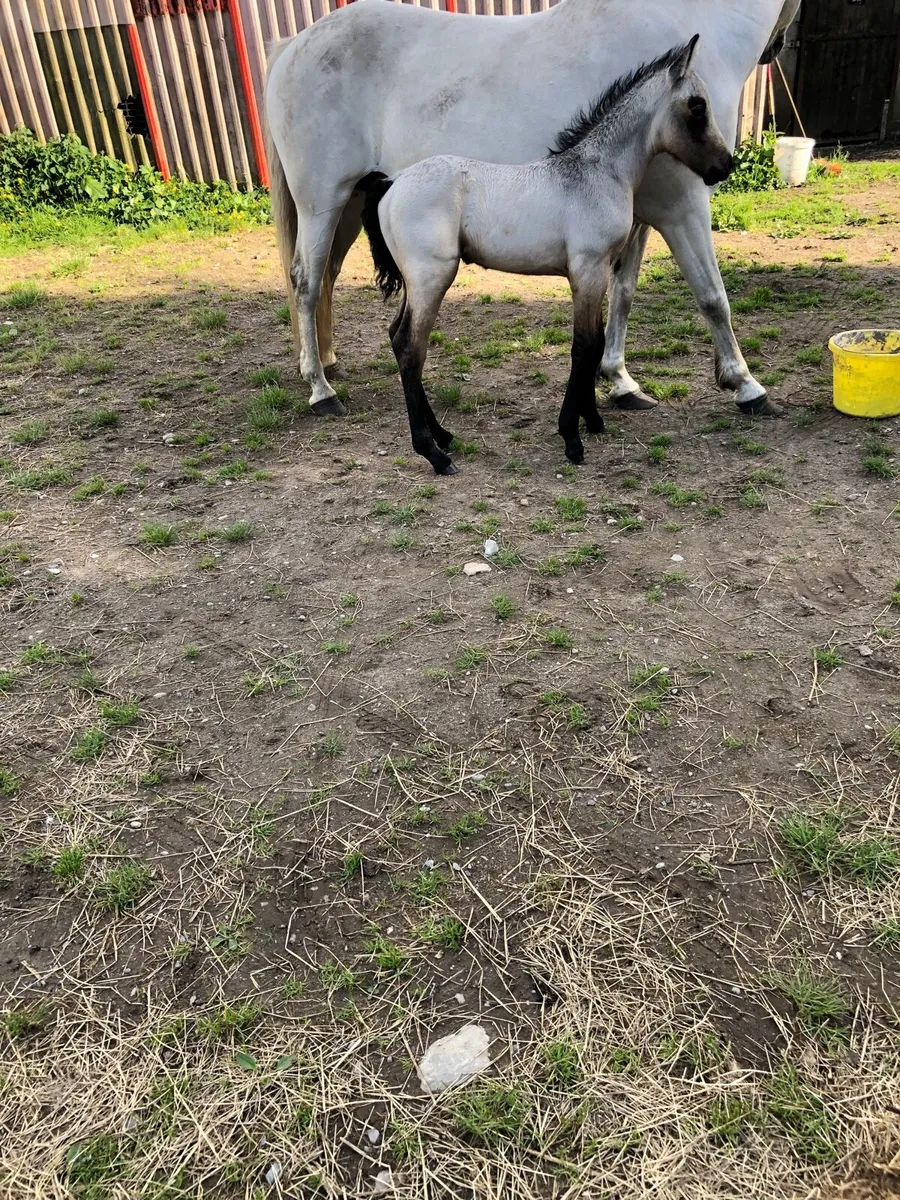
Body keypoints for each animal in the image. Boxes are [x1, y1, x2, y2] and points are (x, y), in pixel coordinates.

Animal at [264, 0, 799, 420]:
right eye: (696, 107)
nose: (723, 166)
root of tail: (292, 44)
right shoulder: (681, 205)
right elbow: (712, 296)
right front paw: (746, 386)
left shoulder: (640, 217)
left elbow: (623, 295)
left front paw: (621, 382)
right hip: (321, 201)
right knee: (306, 282)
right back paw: (321, 391)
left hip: (352, 203)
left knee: (327, 277)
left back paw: (326, 362)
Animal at [356, 37, 732, 475]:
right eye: (697, 106)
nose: (725, 165)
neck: (598, 173)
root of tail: (394, 182)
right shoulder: (587, 270)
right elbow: (583, 346)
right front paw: (572, 437)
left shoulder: (598, 273)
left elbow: (596, 341)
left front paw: (593, 419)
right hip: (432, 278)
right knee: (410, 348)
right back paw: (433, 453)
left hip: (416, 283)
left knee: (397, 339)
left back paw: (444, 435)